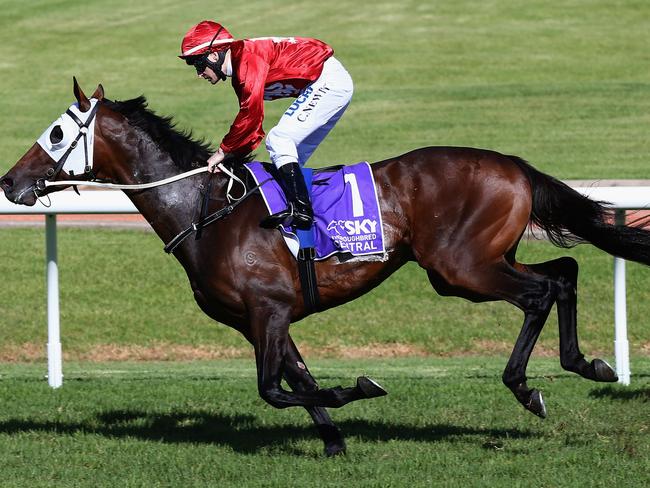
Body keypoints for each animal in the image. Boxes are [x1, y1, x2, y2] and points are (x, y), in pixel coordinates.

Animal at [2, 78, 644, 456]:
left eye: (56, 132)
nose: (10, 182)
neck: (205, 211)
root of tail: (512, 163)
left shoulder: (269, 310)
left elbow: (273, 389)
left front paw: (360, 386)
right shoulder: (259, 319)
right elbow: (300, 381)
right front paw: (336, 441)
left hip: (461, 269)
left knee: (541, 291)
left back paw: (529, 388)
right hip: (484, 259)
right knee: (564, 271)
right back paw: (588, 364)